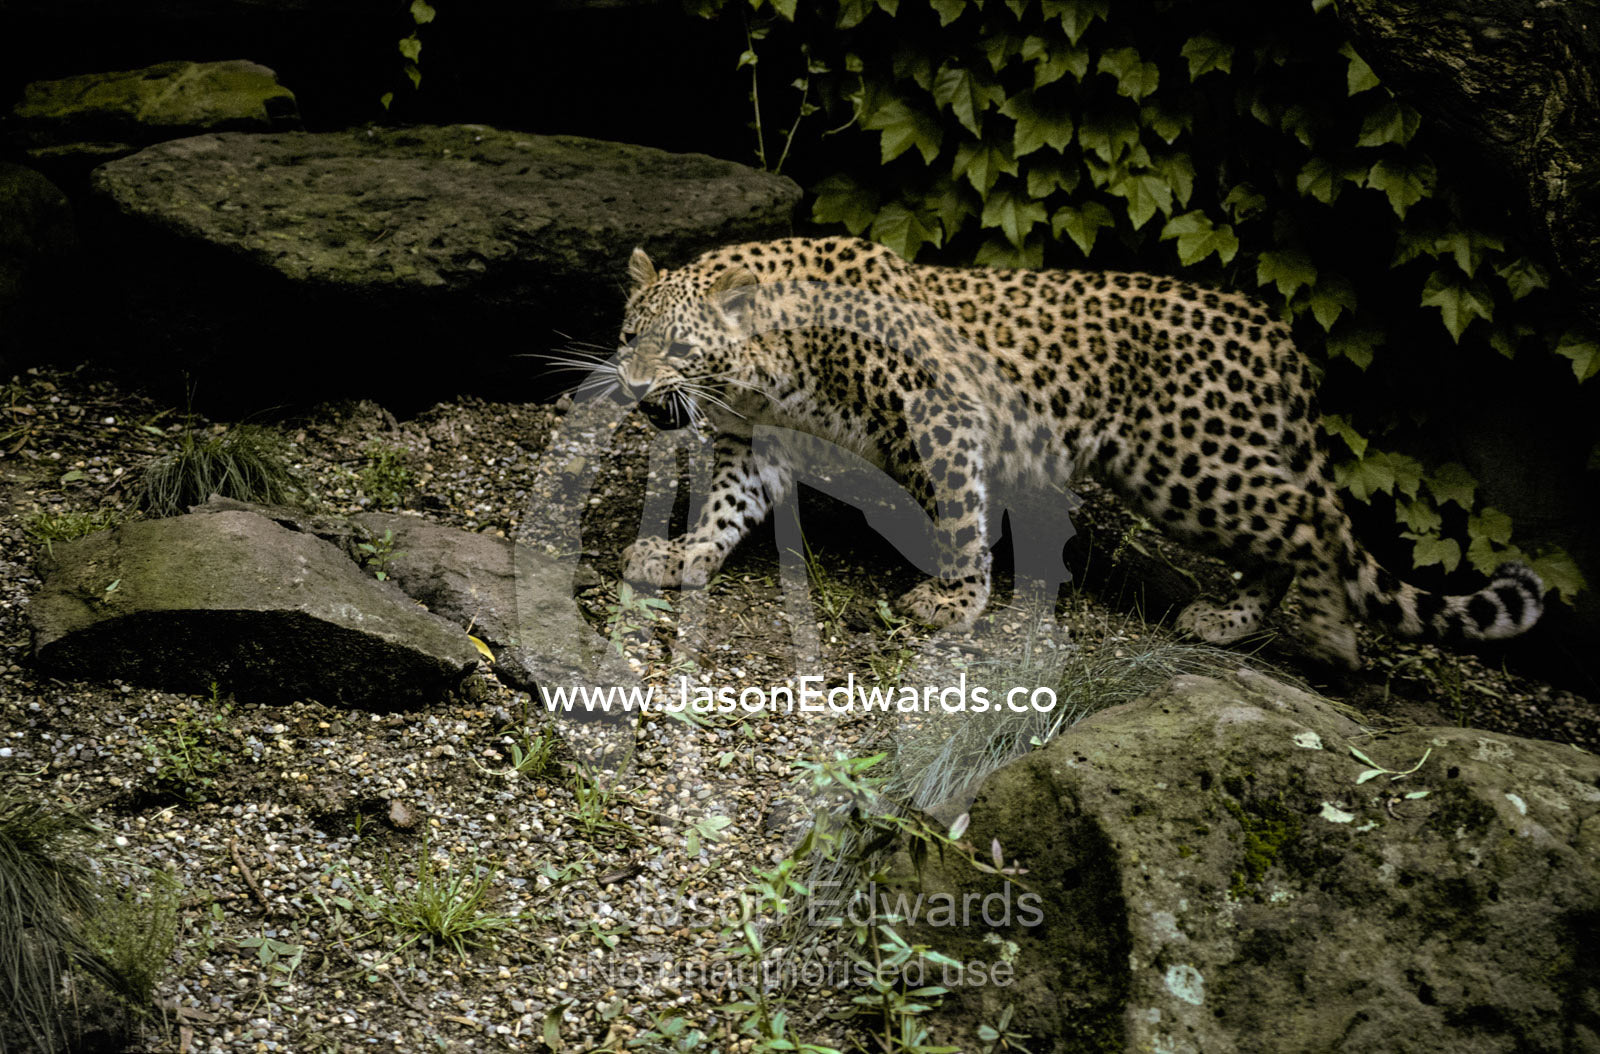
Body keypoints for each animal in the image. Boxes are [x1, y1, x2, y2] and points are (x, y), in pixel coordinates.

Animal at [605, 235, 1543, 669]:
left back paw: (1327, 636)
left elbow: (960, 515)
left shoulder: (942, 415)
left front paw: (956, 603)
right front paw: (681, 556)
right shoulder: (751, 440)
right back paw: (1229, 621)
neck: (768, 364)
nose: (635, 390)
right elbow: (727, 506)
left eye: (679, 348)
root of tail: (1278, 335)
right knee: (1283, 536)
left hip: (1192, 463)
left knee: (1308, 516)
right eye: (626, 335)